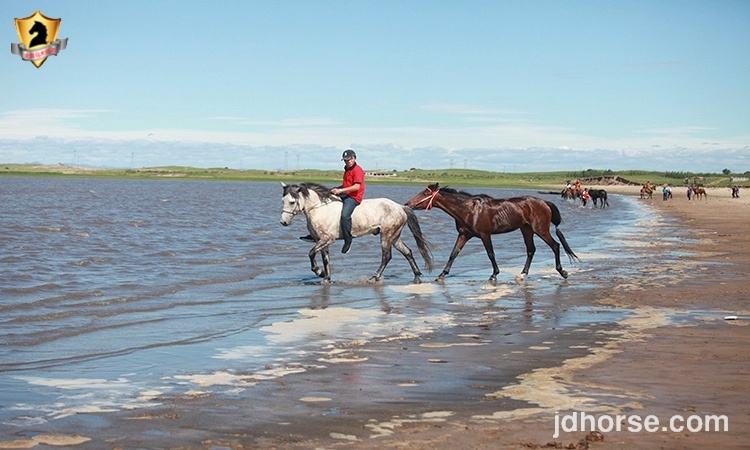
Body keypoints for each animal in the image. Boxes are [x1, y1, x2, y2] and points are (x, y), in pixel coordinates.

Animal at [282, 181, 434, 284]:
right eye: (283, 200)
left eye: (292, 201)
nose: (283, 222)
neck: (319, 209)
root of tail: (400, 207)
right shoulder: (322, 241)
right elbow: (325, 259)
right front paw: (326, 277)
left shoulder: (327, 239)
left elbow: (311, 253)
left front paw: (319, 272)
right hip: (394, 237)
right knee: (407, 252)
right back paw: (417, 276)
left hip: (386, 236)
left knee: (386, 257)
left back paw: (374, 277)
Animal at [408, 182, 580, 282]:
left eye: (425, 193)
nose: (408, 203)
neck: (469, 210)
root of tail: (545, 202)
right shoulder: (464, 235)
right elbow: (453, 254)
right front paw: (442, 274)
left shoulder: (485, 235)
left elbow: (490, 254)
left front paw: (494, 274)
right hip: (526, 230)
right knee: (531, 250)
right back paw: (522, 274)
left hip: (540, 229)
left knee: (555, 246)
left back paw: (562, 272)